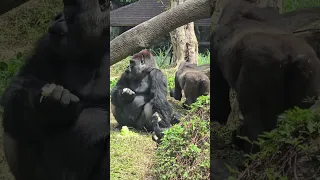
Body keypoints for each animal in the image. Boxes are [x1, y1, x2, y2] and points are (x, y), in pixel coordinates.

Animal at [0, 0, 110, 179]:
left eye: (70, 5)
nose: (57, 16)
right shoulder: (46, 44)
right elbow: (18, 85)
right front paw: (49, 107)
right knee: (16, 120)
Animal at [210, 1, 320, 153]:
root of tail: (291, 57)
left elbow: (218, 98)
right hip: (309, 68)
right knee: (303, 111)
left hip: (261, 67)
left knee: (252, 116)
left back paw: (252, 150)